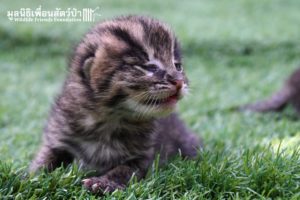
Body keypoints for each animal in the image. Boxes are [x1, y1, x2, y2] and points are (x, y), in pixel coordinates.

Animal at [29, 14, 202, 193]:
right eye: (150, 67)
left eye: (178, 66)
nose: (179, 81)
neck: (108, 119)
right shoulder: (58, 136)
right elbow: (44, 159)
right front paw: (31, 176)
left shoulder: (144, 155)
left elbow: (124, 170)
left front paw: (104, 183)